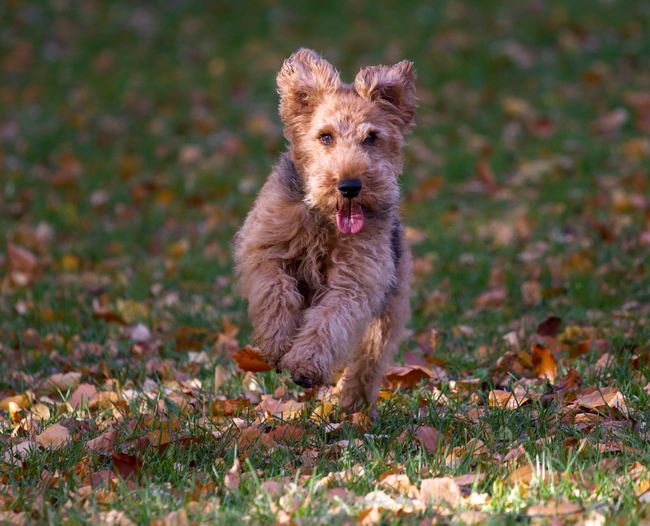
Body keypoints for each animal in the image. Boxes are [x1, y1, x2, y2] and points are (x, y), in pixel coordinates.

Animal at [235, 48, 412, 412]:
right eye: (325, 136)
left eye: (371, 137)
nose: (349, 186)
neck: (323, 220)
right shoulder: (264, 252)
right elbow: (276, 294)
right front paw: (277, 345)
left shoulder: (354, 282)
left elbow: (328, 322)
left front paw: (305, 365)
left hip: (388, 313)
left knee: (367, 363)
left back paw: (352, 404)